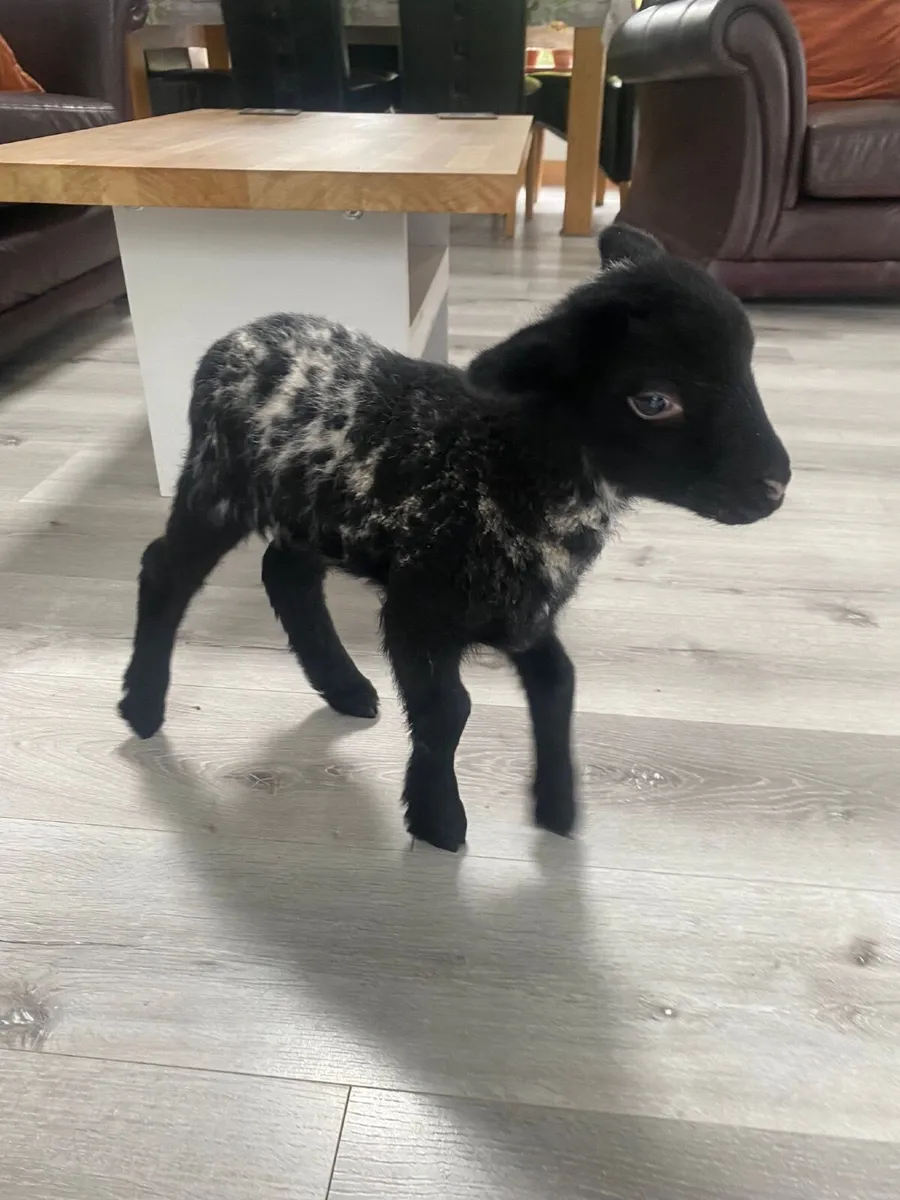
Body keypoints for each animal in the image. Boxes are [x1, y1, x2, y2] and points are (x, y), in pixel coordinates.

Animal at [119, 224, 791, 852]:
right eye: (654, 400)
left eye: (748, 367)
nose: (777, 485)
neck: (513, 463)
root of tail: (241, 334)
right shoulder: (417, 613)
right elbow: (449, 710)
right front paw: (438, 818)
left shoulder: (525, 612)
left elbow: (559, 683)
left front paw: (557, 806)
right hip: (218, 483)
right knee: (164, 568)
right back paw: (142, 706)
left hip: (314, 510)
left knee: (285, 574)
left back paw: (345, 688)